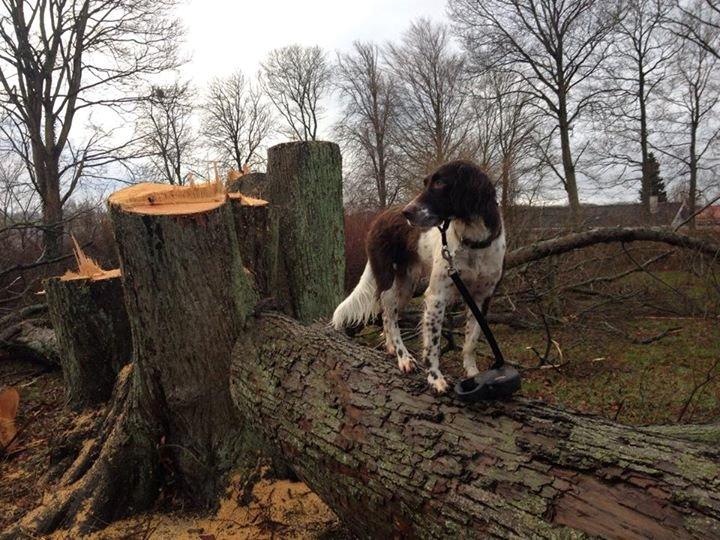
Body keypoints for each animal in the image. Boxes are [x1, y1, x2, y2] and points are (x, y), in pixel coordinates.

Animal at [330, 160, 504, 392]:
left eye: (440, 183)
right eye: (426, 182)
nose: (407, 212)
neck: (472, 242)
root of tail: (380, 217)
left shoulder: (482, 297)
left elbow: (472, 341)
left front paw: (474, 373)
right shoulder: (436, 296)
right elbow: (433, 344)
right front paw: (435, 378)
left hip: (407, 285)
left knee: (387, 316)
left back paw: (391, 347)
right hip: (388, 281)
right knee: (391, 317)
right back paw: (404, 358)